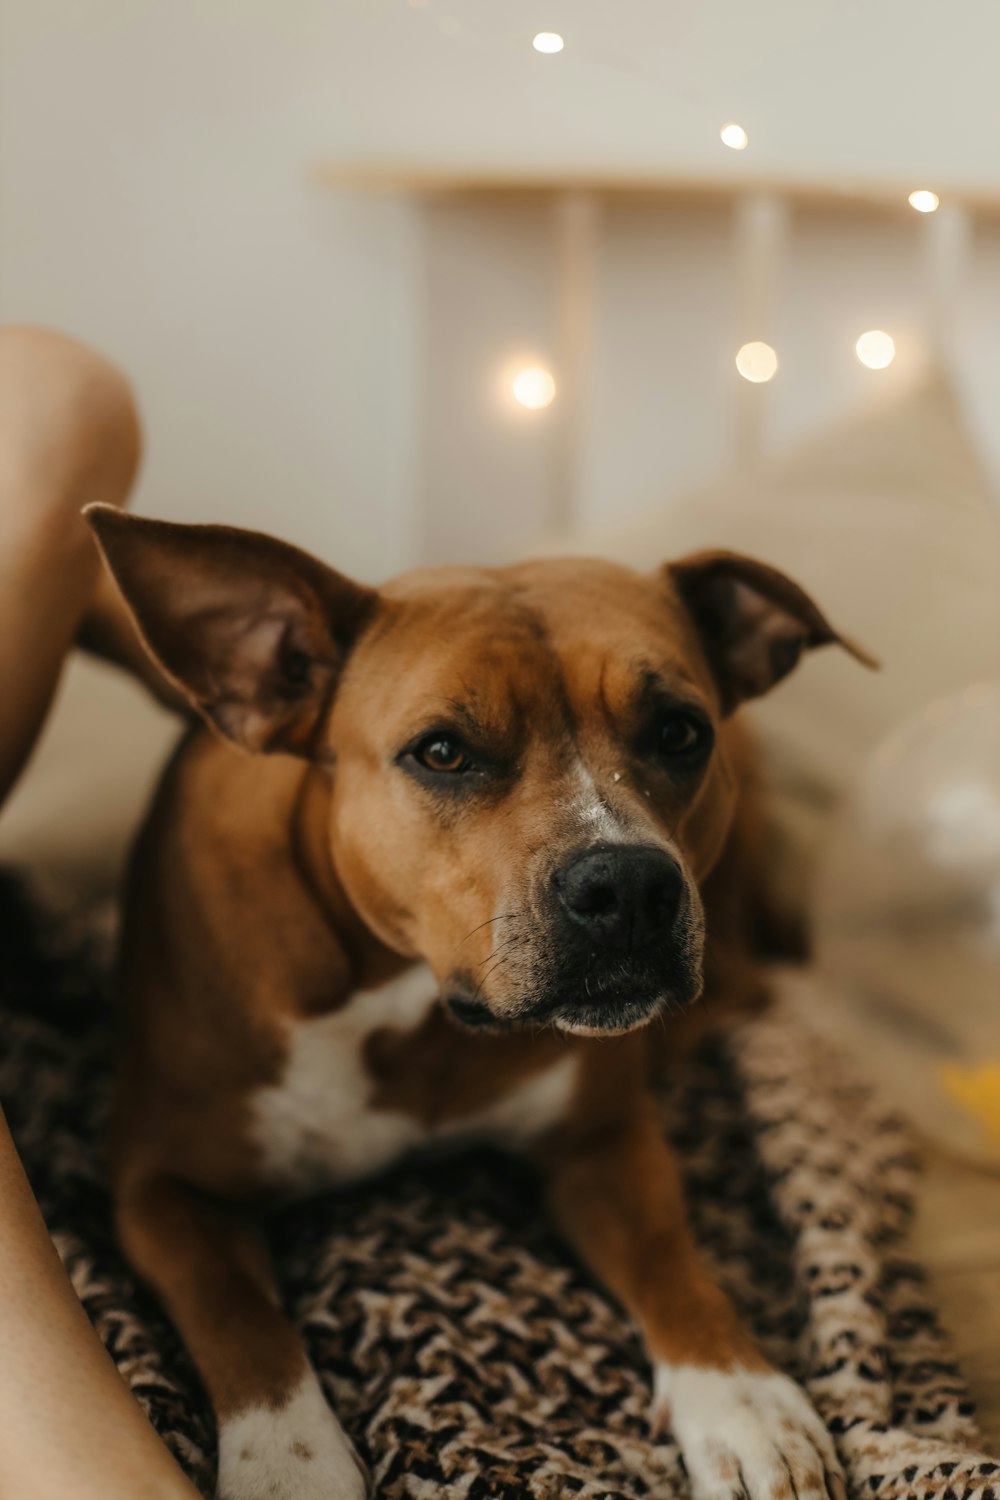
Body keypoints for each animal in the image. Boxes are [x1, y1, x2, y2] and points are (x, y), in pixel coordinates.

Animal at [86, 507, 869, 1500]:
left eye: (680, 731)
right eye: (443, 752)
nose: (627, 883)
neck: (409, 1007)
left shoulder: (601, 1140)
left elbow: (672, 1259)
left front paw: (743, 1402)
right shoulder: (158, 1182)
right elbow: (241, 1319)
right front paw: (289, 1463)